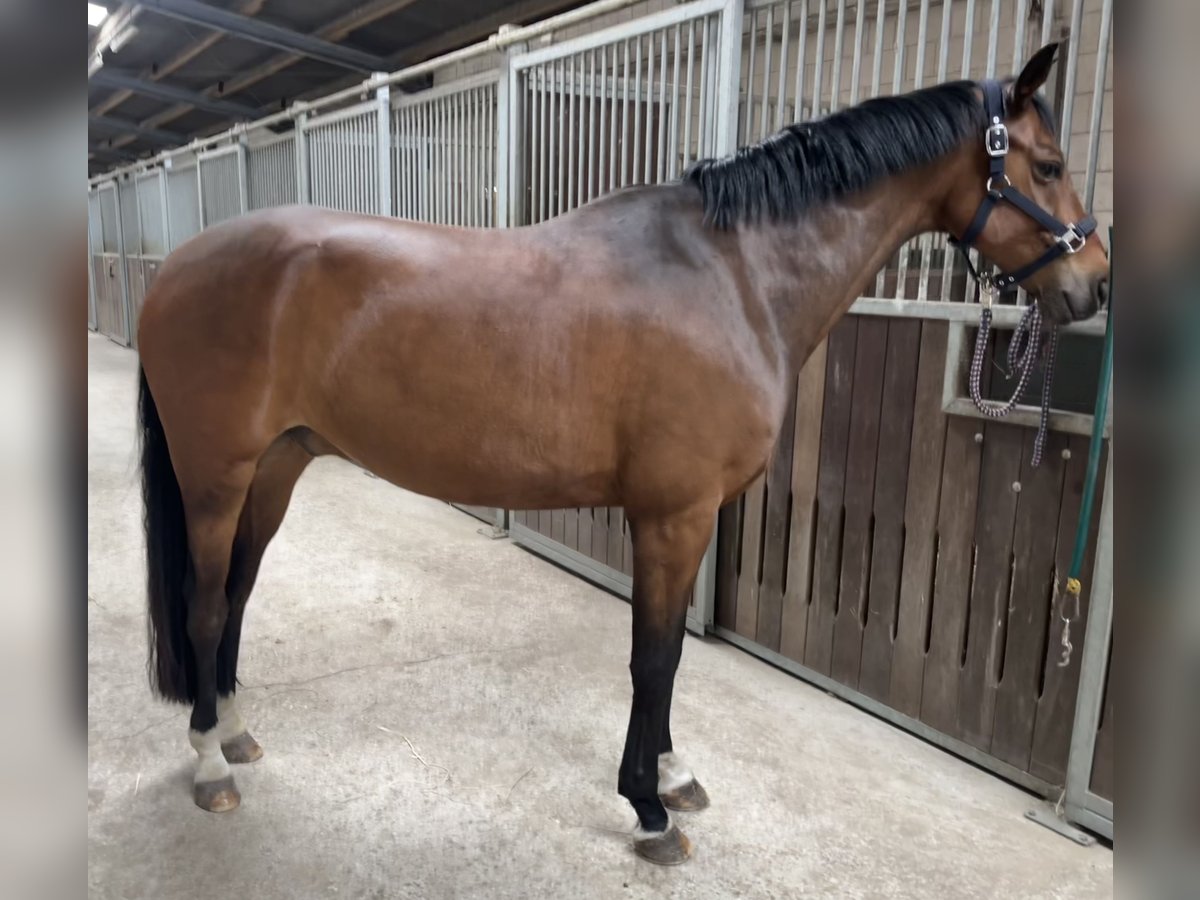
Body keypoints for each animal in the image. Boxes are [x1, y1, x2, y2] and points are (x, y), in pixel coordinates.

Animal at [136, 44, 1108, 865]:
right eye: (1049, 167)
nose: (1092, 283)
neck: (734, 276)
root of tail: (174, 267)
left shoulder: (689, 517)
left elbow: (668, 651)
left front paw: (673, 777)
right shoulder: (671, 514)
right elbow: (654, 658)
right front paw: (648, 809)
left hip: (276, 466)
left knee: (237, 593)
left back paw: (232, 732)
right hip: (217, 478)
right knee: (204, 605)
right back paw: (209, 764)